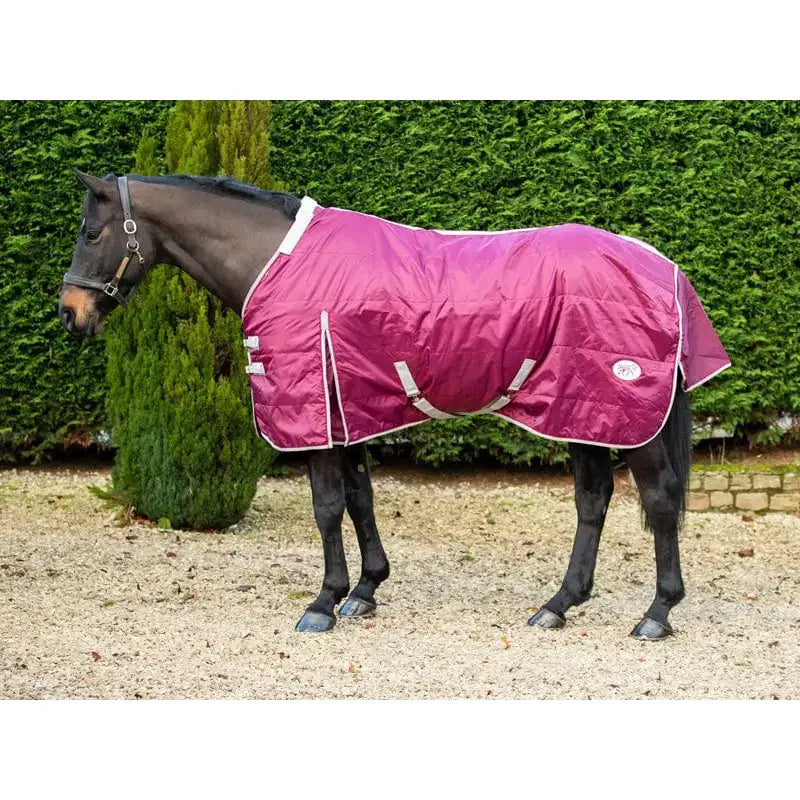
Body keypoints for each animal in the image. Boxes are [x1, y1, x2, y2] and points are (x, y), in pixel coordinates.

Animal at [59, 171, 729, 640]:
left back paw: (656, 613)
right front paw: (365, 591)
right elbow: (360, 499)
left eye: (91, 233)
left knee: (660, 502)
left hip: (627, 416)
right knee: (593, 501)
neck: (277, 260)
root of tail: (662, 266)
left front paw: (323, 603)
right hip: (583, 411)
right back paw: (558, 605)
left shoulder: (315, 411)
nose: (71, 313)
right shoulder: (348, 406)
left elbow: (327, 508)